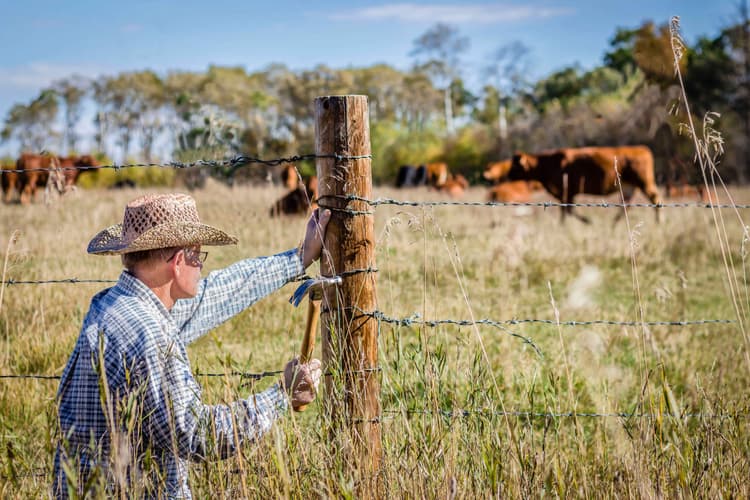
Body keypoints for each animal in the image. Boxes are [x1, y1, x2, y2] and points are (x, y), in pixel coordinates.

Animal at [508, 145, 660, 223]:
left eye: (515, 166)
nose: (508, 176)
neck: (547, 163)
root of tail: (641, 148)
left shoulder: (566, 192)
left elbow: (567, 211)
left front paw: (586, 221)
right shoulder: (564, 194)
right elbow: (567, 211)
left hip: (645, 182)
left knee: (655, 199)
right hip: (629, 185)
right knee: (626, 205)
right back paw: (614, 224)